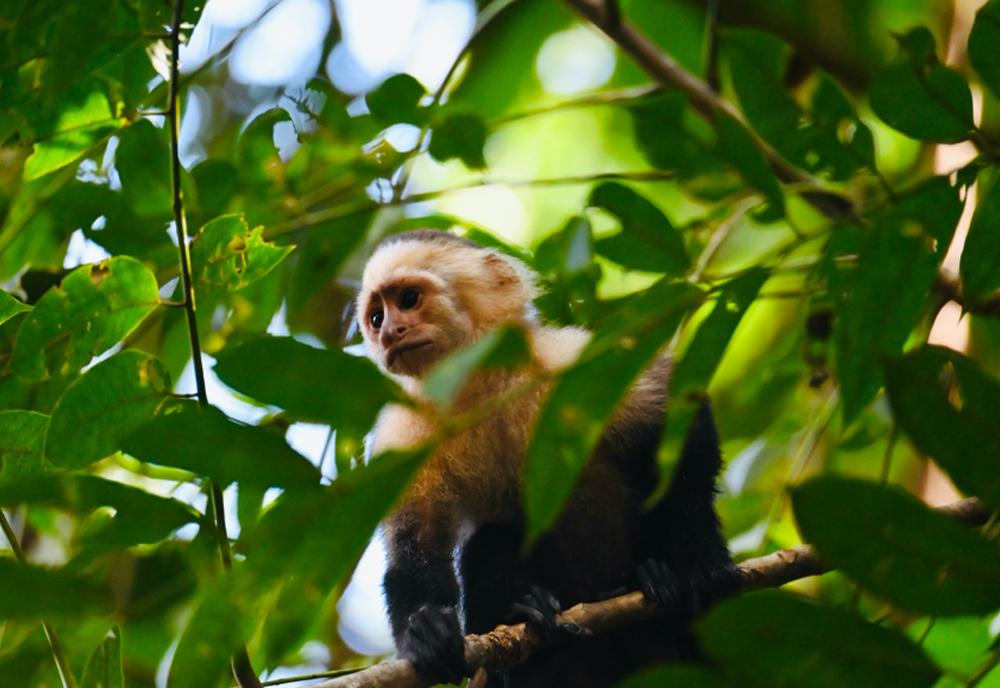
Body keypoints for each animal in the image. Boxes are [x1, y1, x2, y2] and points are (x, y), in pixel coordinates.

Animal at [356, 228, 740, 684]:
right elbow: (416, 548)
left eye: (409, 299)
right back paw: (531, 624)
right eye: (376, 317)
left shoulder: (570, 360)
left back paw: (655, 581)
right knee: (490, 541)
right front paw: (425, 630)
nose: (389, 333)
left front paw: (696, 562)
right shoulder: (404, 431)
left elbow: (677, 414)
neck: (481, 388)